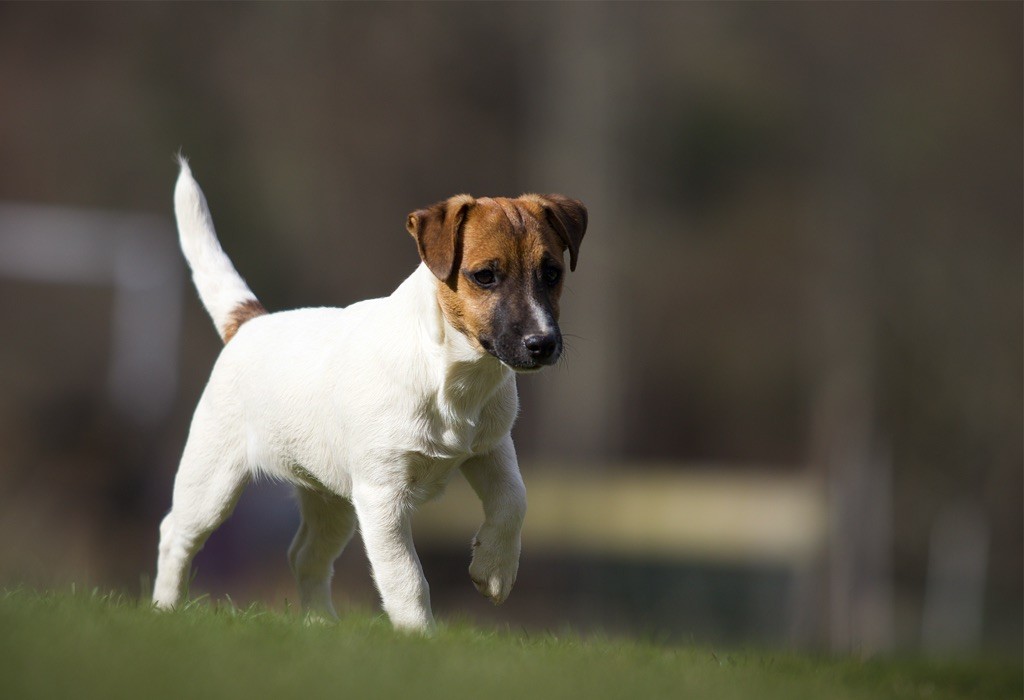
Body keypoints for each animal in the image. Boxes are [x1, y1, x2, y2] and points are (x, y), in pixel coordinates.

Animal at [150, 159, 585, 634]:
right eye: (485, 276)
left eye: (552, 274)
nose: (542, 344)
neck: (452, 376)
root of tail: (248, 324)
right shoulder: (382, 496)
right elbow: (405, 577)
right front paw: (419, 637)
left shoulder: (491, 449)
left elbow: (514, 502)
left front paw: (493, 571)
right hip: (213, 480)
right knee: (175, 535)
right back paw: (164, 610)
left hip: (333, 499)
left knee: (305, 557)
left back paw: (321, 624)